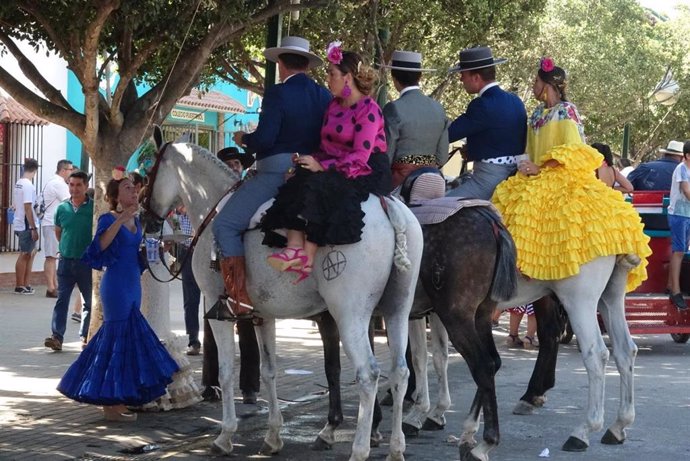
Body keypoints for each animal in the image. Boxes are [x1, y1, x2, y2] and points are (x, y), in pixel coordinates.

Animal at [142, 136, 422, 460]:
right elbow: (269, 371)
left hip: (350, 314)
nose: (146, 219)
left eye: (150, 172)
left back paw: (360, 449)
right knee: (400, 371)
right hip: (397, 309)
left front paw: (225, 436)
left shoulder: (217, 311)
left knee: (368, 374)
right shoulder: (263, 315)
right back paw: (396, 447)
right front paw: (273, 436)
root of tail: (389, 207)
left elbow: (225, 374)